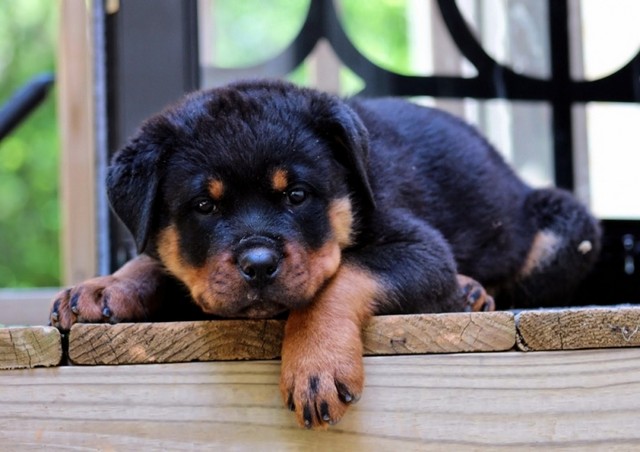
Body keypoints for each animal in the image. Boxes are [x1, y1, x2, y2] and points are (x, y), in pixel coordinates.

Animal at [48, 79, 600, 430]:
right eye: (204, 205)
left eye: (297, 195)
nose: (258, 265)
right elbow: (152, 259)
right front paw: (101, 288)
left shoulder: (422, 247)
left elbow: (343, 274)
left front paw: (315, 367)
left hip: (565, 226)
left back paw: (468, 292)